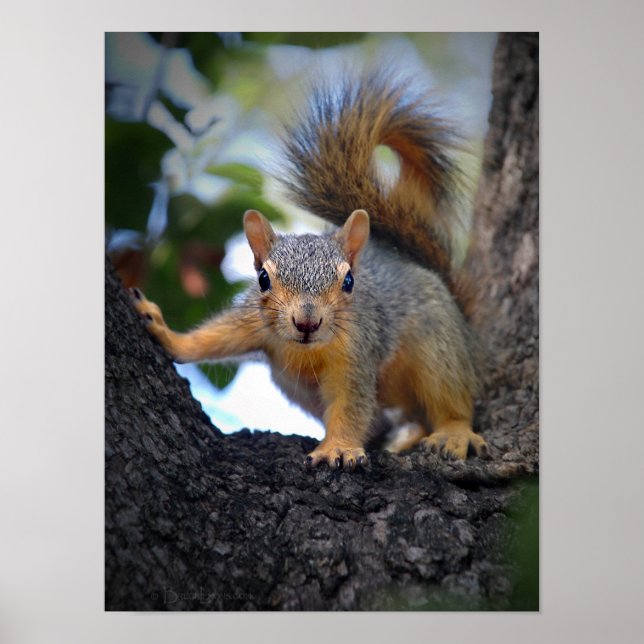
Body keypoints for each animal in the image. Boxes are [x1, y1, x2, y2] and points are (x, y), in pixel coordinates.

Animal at [131, 70, 489, 471]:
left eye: (349, 281)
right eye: (263, 279)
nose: (307, 323)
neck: (307, 351)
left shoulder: (356, 351)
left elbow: (351, 405)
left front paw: (339, 447)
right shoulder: (254, 323)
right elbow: (215, 337)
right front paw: (165, 333)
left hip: (440, 346)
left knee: (449, 398)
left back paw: (453, 432)